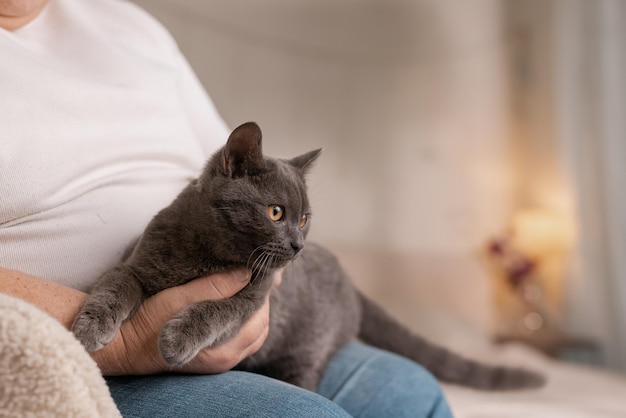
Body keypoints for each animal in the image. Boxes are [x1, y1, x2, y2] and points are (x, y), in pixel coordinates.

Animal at [72, 121, 540, 392]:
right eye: (277, 212)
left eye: (304, 219)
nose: (297, 245)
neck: (209, 255)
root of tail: (351, 282)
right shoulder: (137, 263)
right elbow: (116, 285)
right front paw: (90, 329)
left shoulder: (253, 300)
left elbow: (214, 310)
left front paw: (177, 339)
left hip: (308, 351)